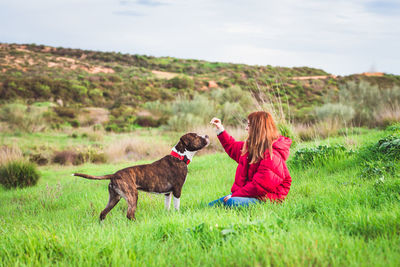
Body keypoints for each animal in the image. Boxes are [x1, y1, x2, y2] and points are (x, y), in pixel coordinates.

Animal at [73, 133, 209, 221]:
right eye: (196, 136)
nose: (207, 135)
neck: (180, 157)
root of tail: (115, 174)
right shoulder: (177, 190)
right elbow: (177, 206)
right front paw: (178, 215)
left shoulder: (167, 193)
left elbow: (167, 206)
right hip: (132, 195)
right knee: (129, 214)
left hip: (114, 198)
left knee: (103, 213)